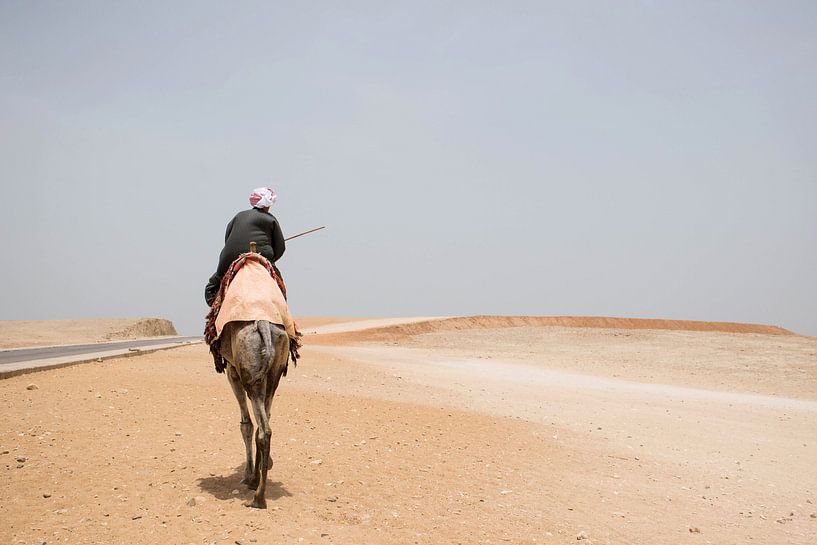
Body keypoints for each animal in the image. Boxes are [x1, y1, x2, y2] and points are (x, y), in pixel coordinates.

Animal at [217, 316, 290, 508]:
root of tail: (263, 324)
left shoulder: (232, 370)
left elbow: (246, 425)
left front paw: (247, 475)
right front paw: (256, 472)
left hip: (249, 371)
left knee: (263, 430)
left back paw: (258, 498)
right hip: (274, 371)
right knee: (265, 427)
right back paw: (258, 484)